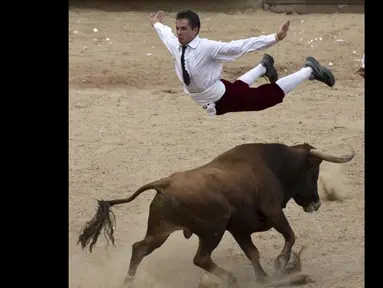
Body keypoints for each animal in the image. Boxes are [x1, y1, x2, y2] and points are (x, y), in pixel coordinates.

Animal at [78, 142, 356, 286]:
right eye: (314, 169)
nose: (316, 203)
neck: (273, 164)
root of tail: (164, 183)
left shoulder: (239, 229)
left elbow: (253, 252)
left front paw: (264, 277)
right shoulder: (272, 210)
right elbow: (290, 236)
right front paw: (280, 264)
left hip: (161, 230)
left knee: (139, 248)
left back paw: (128, 281)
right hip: (213, 229)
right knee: (200, 258)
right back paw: (230, 278)